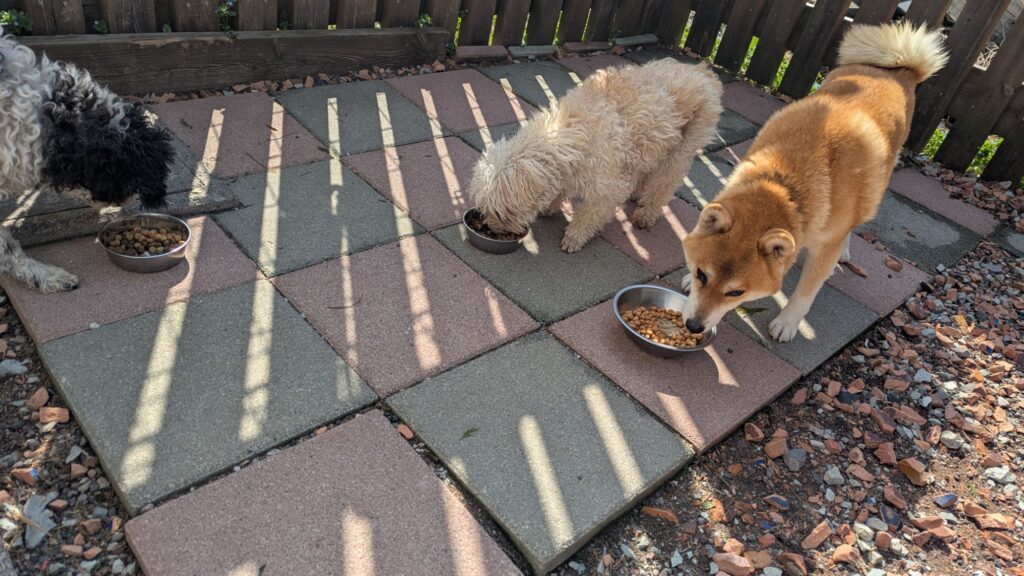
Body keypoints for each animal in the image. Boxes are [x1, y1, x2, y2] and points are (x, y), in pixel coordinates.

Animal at [469, 58, 723, 252]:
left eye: (502, 212)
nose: (491, 226)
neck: (570, 131)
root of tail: (701, 71)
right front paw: (551, 205)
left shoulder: (608, 189)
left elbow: (590, 214)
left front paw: (574, 237)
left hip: (682, 149)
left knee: (664, 184)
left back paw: (646, 214)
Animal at [681, 21, 948, 342]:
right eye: (701, 274)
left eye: (736, 293)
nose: (693, 326)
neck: (784, 183)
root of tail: (900, 70)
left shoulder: (825, 245)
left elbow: (806, 291)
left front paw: (787, 322)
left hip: (874, 187)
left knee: (852, 225)